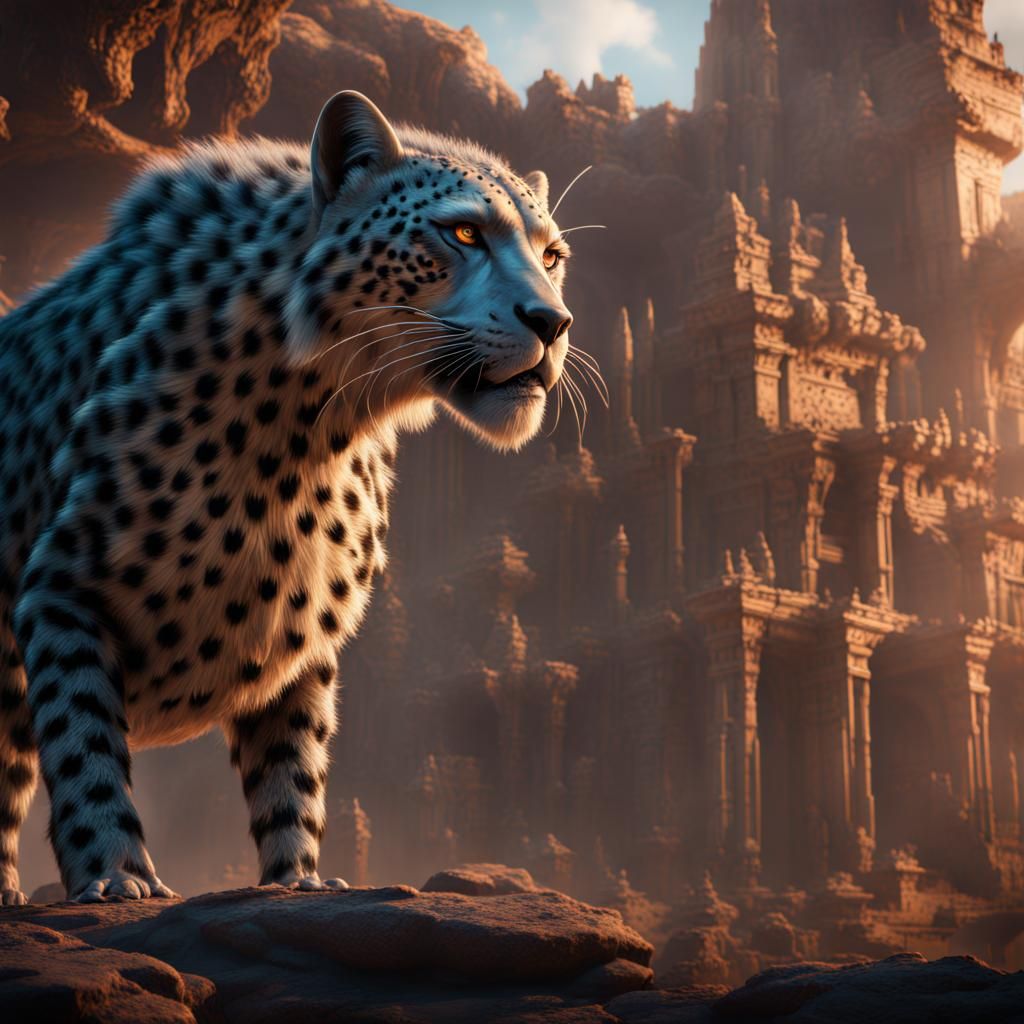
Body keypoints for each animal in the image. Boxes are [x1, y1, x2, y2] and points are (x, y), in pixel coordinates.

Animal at [0, 91, 574, 903]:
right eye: (463, 231)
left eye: (552, 256)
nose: (554, 323)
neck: (305, 419)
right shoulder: (58, 594)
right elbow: (84, 745)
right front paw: (116, 876)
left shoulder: (299, 641)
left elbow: (293, 772)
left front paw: (299, 881)